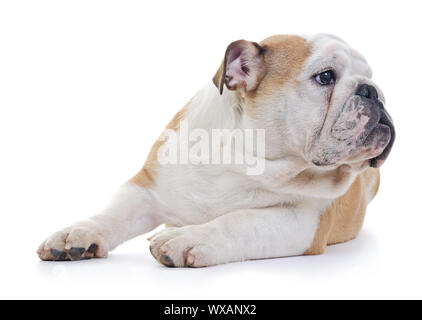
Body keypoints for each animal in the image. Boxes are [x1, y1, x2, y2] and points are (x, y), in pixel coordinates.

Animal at [37, 33, 396, 266]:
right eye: (325, 77)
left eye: (370, 77)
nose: (373, 91)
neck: (246, 159)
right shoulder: (148, 187)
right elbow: (115, 213)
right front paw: (78, 232)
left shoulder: (303, 220)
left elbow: (240, 221)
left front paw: (190, 238)